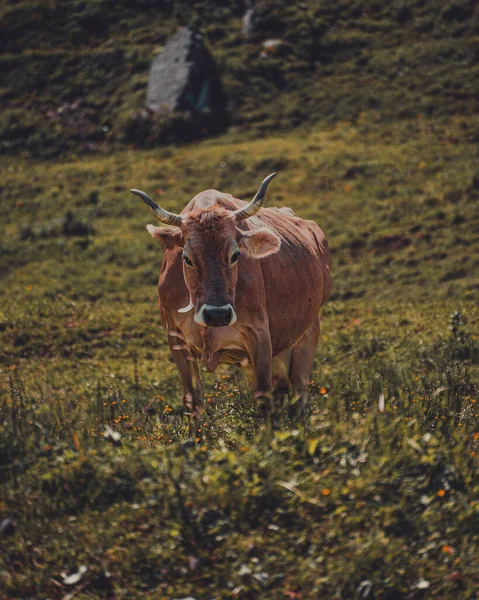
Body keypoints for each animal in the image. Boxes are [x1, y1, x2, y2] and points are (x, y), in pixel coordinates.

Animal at [132, 173, 334, 436]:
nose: (217, 315)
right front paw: (192, 442)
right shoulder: (176, 338)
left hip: (307, 333)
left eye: (235, 255)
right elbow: (192, 399)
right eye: (187, 258)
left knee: (297, 392)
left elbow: (263, 398)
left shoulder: (259, 336)